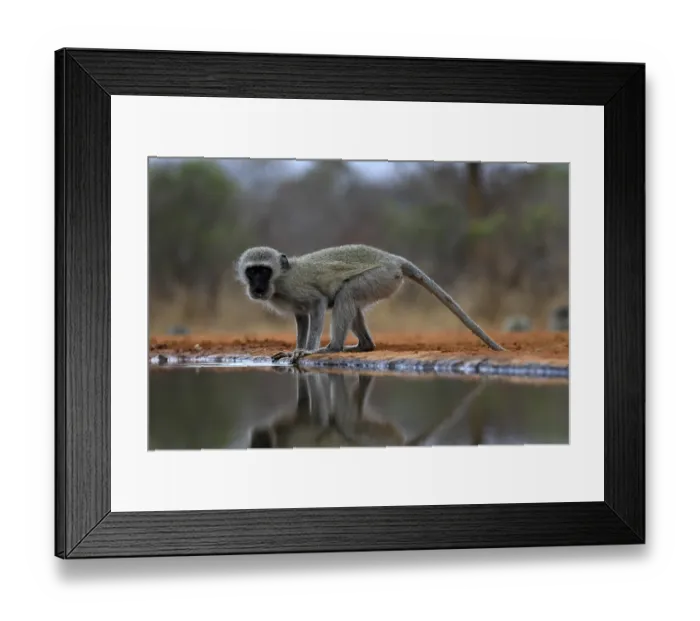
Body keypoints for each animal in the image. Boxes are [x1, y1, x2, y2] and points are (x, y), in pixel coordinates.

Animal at [235, 244, 505, 363]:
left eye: (263, 271)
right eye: (252, 271)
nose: (256, 286)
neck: (280, 279)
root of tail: (393, 259)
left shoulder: (300, 290)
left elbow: (319, 304)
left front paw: (306, 351)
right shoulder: (296, 307)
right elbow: (302, 319)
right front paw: (295, 348)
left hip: (382, 277)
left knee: (345, 295)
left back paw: (332, 348)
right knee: (349, 300)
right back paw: (363, 346)